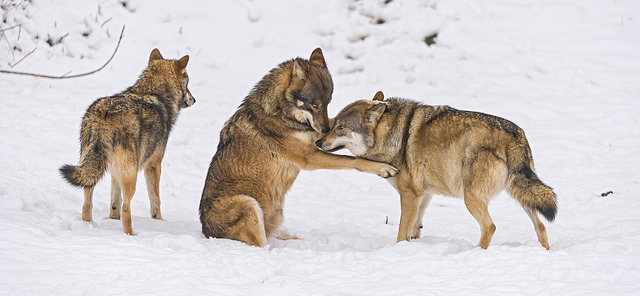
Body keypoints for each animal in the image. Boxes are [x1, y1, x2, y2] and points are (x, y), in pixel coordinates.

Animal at [59, 48, 195, 235]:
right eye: (188, 84)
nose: (194, 100)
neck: (154, 94)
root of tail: (105, 115)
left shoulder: (115, 173)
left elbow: (113, 203)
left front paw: (112, 219)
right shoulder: (154, 165)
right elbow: (156, 201)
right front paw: (159, 222)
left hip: (93, 168)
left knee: (87, 202)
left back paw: (90, 226)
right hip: (131, 176)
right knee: (126, 208)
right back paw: (131, 235)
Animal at [200, 49, 400, 247]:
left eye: (328, 102)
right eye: (314, 105)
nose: (324, 130)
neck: (280, 114)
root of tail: (207, 232)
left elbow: (336, 122)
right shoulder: (310, 157)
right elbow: (353, 160)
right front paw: (383, 168)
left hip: (277, 213)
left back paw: (293, 239)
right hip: (249, 204)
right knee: (263, 245)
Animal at [316, 91, 556, 249]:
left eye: (341, 127)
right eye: (333, 123)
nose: (318, 142)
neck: (391, 135)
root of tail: (515, 135)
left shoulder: (410, 195)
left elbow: (401, 233)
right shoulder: (424, 194)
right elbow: (414, 227)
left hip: (471, 197)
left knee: (490, 227)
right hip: (521, 195)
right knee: (541, 226)